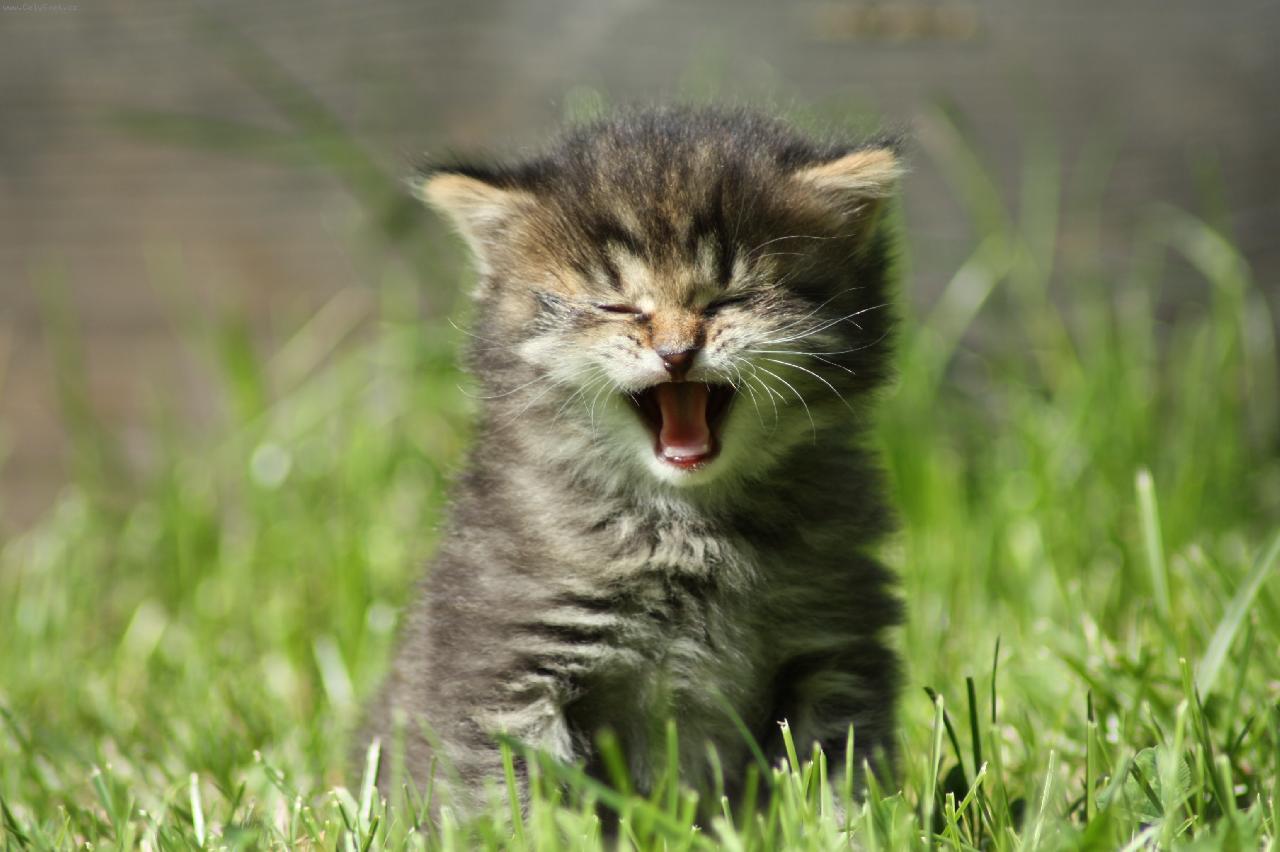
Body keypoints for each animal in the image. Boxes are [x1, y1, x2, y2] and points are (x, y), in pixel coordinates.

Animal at [362, 107, 904, 818]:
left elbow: (837, 777)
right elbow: (506, 799)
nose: (677, 353)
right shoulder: (503, 664)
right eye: (617, 306)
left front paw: (839, 828)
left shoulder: (835, 646)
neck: (686, 526)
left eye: (728, 299)